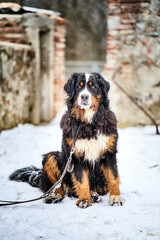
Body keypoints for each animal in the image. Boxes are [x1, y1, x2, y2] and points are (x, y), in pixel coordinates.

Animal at [10, 72, 124, 208]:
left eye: (93, 86)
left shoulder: (109, 152)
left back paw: (94, 195)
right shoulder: (77, 156)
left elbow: (113, 177)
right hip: (52, 157)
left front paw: (115, 198)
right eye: (79, 86)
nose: (84, 96)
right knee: (58, 187)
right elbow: (81, 180)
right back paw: (55, 196)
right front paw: (84, 200)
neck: (88, 124)